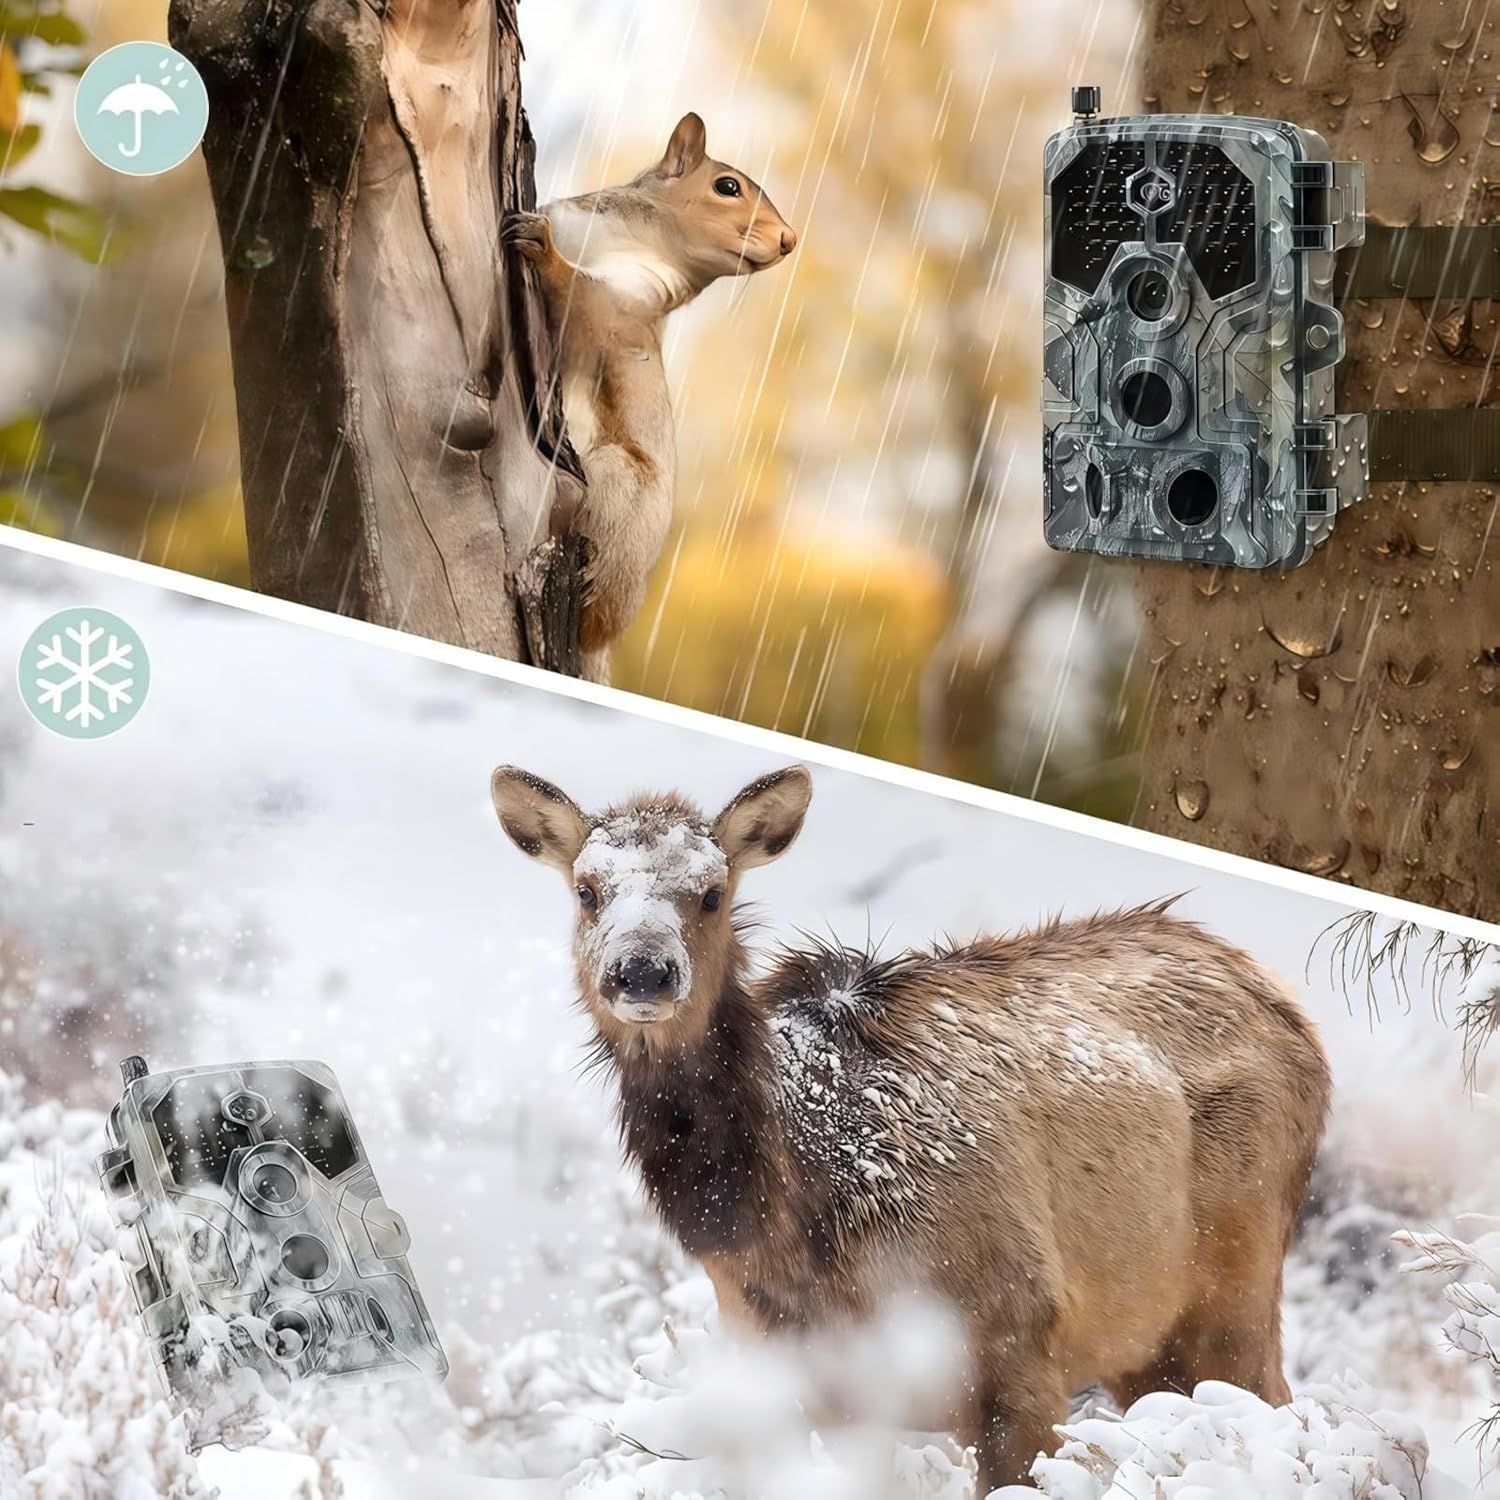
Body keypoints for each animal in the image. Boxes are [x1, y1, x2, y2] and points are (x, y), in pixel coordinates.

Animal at [489, 762, 1331, 1493]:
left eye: (712, 892)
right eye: (587, 890)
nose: (642, 972)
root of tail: (1288, 1008)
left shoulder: (1020, 1340)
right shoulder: (803, 1381)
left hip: (1236, 1284)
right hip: (1142, 1340)